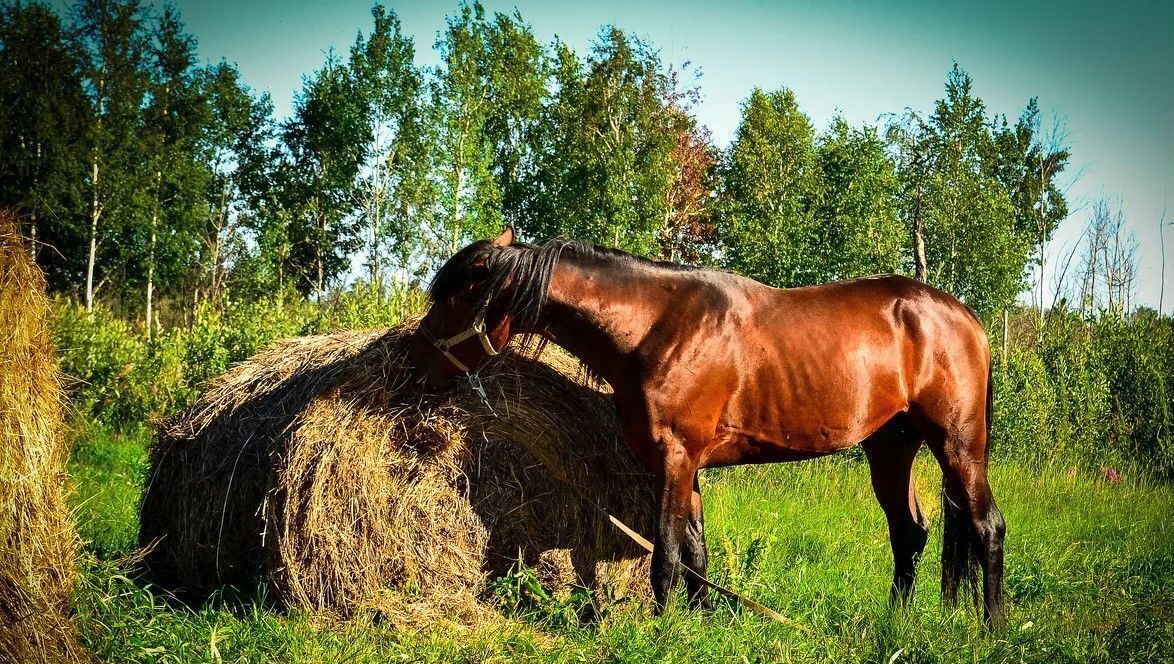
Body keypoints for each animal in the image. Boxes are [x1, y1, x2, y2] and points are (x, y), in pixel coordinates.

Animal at [408, 228, 1004, 628]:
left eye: (457, 296)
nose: (415, 364)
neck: (656, 326)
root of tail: (964, 319)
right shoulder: (687, 465)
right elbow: (697, 557)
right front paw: (702, 625)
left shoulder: (674, 457)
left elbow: (666, 557)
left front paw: (662, 632)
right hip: (892, 447)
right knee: (909, 533)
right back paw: (894, 623)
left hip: (957, 446)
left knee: (986, 528)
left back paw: (990, 628)